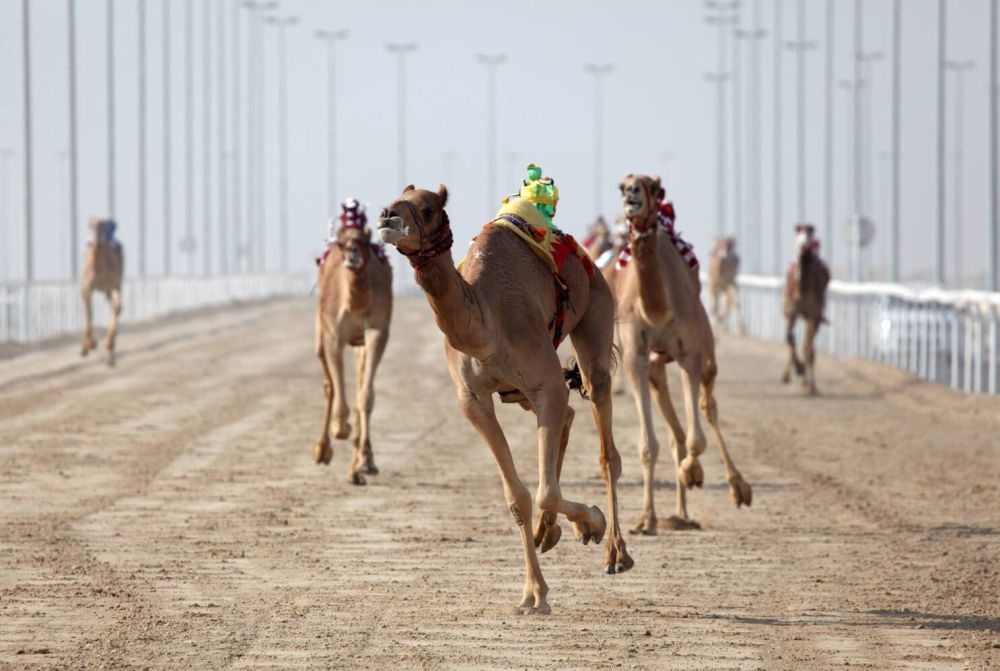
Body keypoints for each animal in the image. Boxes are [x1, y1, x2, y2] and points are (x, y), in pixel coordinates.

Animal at [314, 200, 392, 484]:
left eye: (364, 239)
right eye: (340, 241)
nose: (352, 253)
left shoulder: (378, 330)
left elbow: (365, 397)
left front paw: (363, 464)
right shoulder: (333, 334)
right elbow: (337, 391)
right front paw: (340, 428)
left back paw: (360, 465)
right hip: (320, 331)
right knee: (328, 384)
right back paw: (322, 450)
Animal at [378, 176, 628, 616]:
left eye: (427, 208)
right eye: (394, 199)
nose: (388, 217)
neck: (485, 326)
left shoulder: (544, 381)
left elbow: (545, 491)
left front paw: (593, 522)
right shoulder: (473, 400)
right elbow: (518, 497)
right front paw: (532, 593)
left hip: (596, 311)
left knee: (604, 443)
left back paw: (615, 550)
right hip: (521, 392)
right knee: (566, 418)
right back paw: (551, 532)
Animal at [608, 175, 752, 536]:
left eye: (650, 185)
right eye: (622, 185)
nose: (631, 195)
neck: (658, 309)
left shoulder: (690, 354)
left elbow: (697, 437)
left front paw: (694, 472)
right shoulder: (636, 357)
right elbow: (650, 445)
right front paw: (645, 519)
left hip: (707, 351)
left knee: (707, 408)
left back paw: (737, 487)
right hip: (657, 368)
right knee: (675, 431)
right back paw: (678, 513)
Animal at [784, 223, 832, 396]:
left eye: (810, 233)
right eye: (798, 232)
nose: (804, 246)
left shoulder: (814, 316)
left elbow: (808, 348)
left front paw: (811, 385)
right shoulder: (791, 311)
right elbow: (789, 336)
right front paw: (798, 368)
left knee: (809, 347)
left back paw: (808, 383)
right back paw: (787, 376)